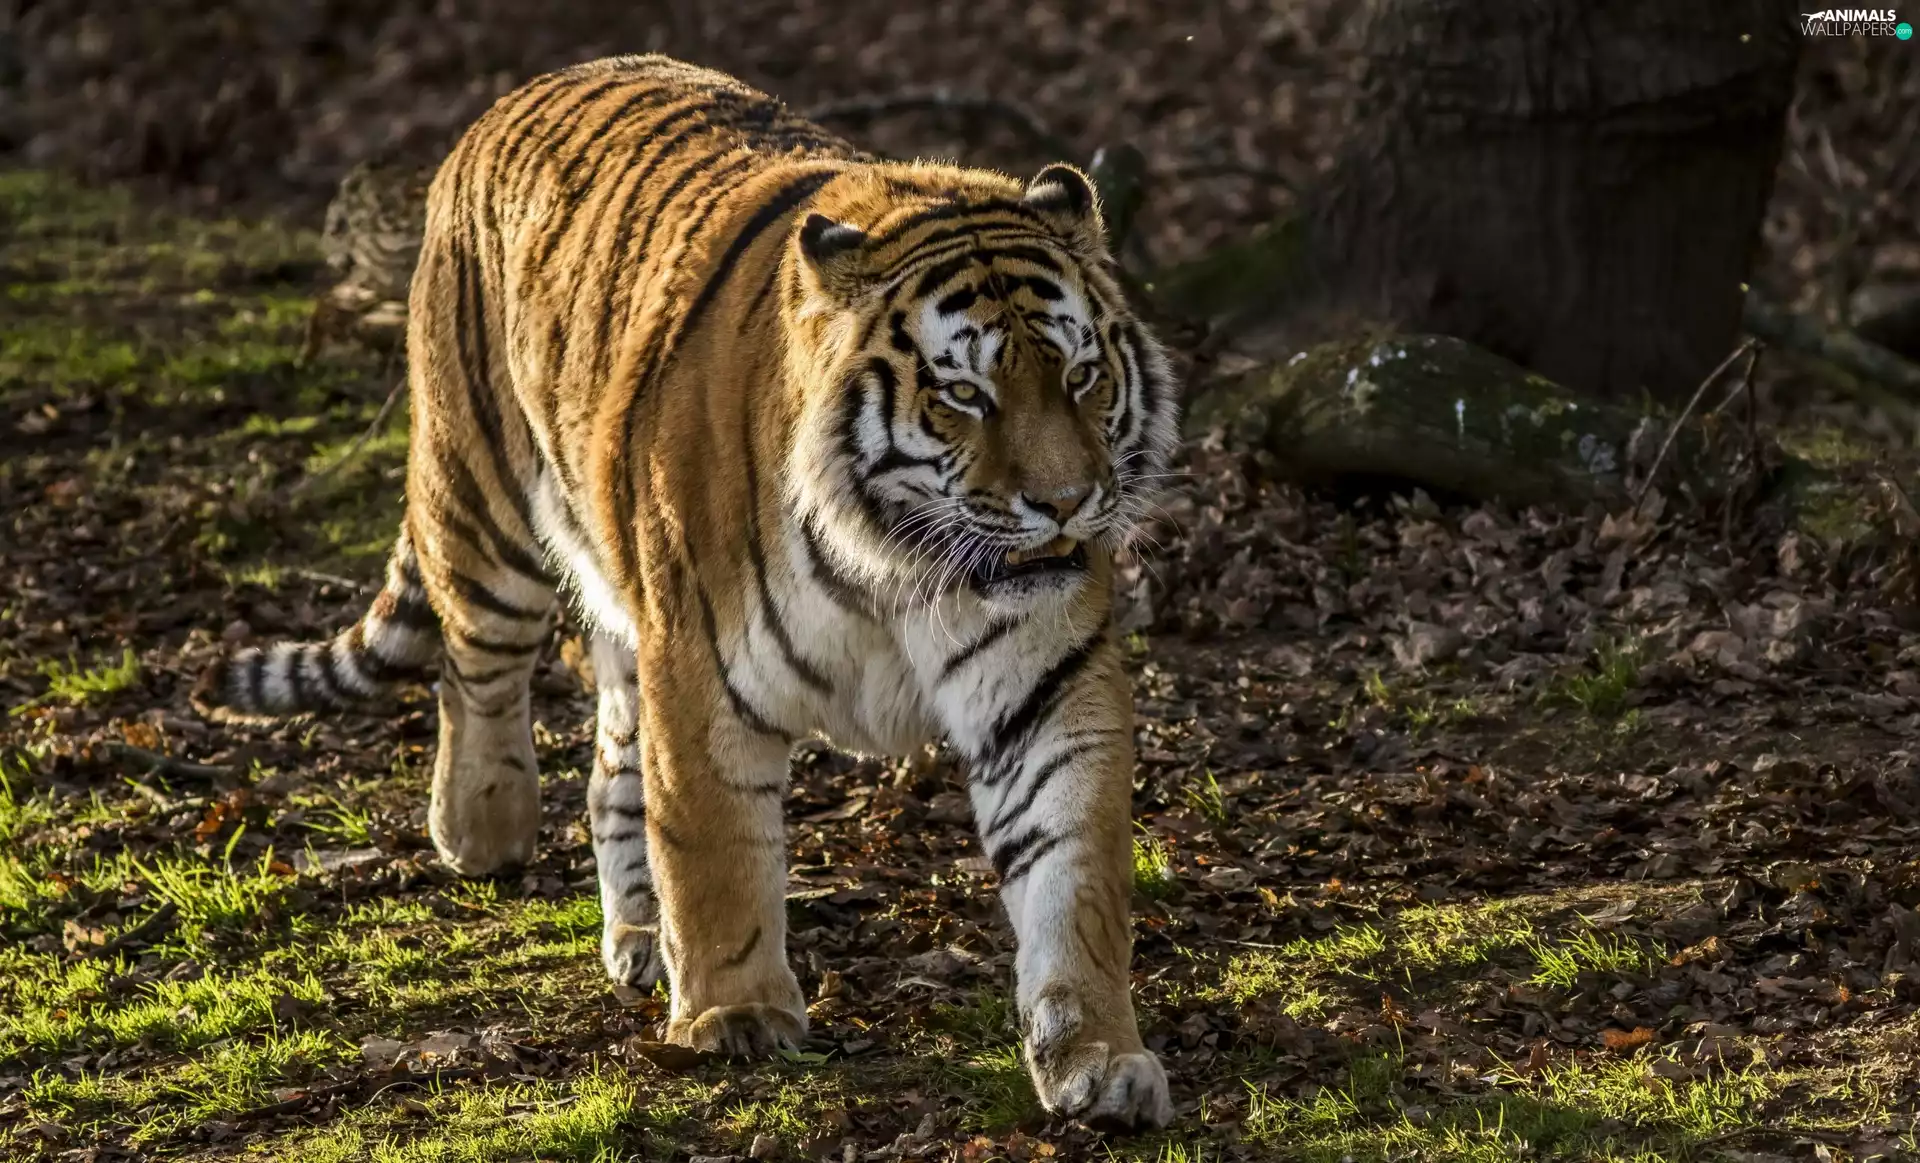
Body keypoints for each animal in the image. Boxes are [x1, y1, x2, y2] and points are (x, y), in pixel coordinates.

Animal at [195, 54, 1180, 1128]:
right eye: (966, 393)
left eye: (1080, 375)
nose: (1067, 503)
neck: (897, 564)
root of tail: (514, 97)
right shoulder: (705, 670)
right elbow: (714, 849)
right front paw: (736, 1014)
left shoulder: (1045, 688)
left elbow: (1073, 878)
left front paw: (1097, 1055)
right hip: (484, 504)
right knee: (475, 664)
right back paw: (482, 825)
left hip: (627, 608)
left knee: (610, 764)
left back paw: (637, 936)